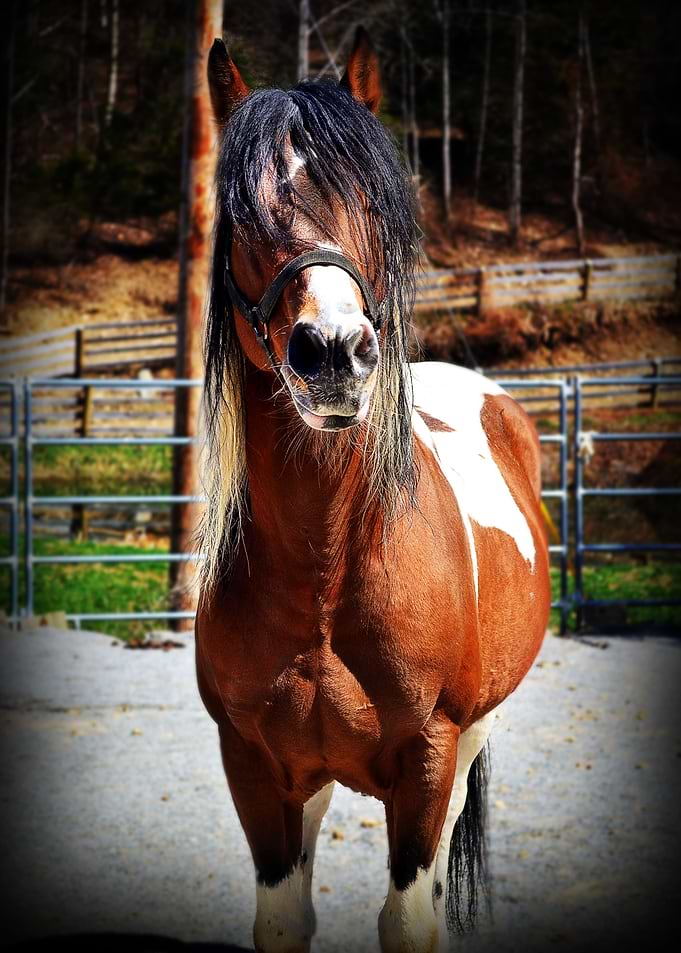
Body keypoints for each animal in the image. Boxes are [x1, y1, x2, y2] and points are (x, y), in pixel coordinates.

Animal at [195, 28, 550, 953]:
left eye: (370, 197)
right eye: (241, 214)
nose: (331, 350)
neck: (326, 568)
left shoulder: (428, 761)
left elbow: (407, 920)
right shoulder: (255, 765)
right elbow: (284, 918)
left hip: (473, 737)